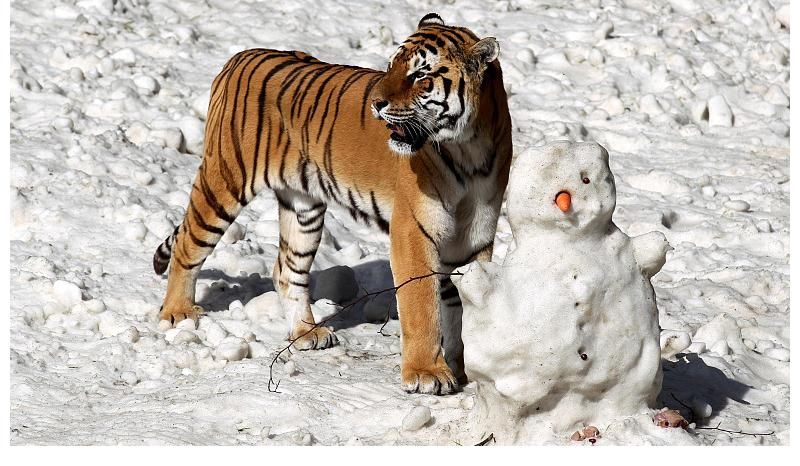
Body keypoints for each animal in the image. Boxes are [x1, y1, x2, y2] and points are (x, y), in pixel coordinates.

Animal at [152, 12, 512, 396]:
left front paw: (463, 369)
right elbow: (422, 307)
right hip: (224, 181)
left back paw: (306, 333)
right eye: (391, 67)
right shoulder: (414, 232)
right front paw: (427, 373)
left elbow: (460, 306)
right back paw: (177, 313)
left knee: (286, 269)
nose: (376, 104)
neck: (468, 149)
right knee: (187, 244)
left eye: (420, 75)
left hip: (303, 208)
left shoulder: (474, 238)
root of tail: (241, 56)